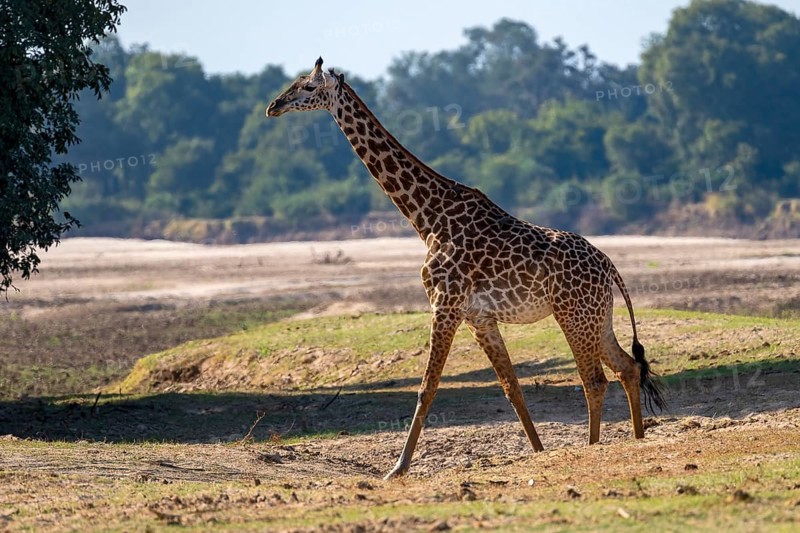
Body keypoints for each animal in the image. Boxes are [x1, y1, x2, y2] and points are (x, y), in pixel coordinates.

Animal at [266, 57, 666, 479]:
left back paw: (593, 448)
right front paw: (538, 451)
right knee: (628, 368)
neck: (427, 218)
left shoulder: (445, 305)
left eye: (308, 87)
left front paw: (398, 468)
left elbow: (427, 387)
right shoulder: (479, 317)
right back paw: (637, 438)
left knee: (594, 380)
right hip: (597, 316)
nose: (273, 106)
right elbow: (511, 386)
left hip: (573, 314)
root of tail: (610, 266)